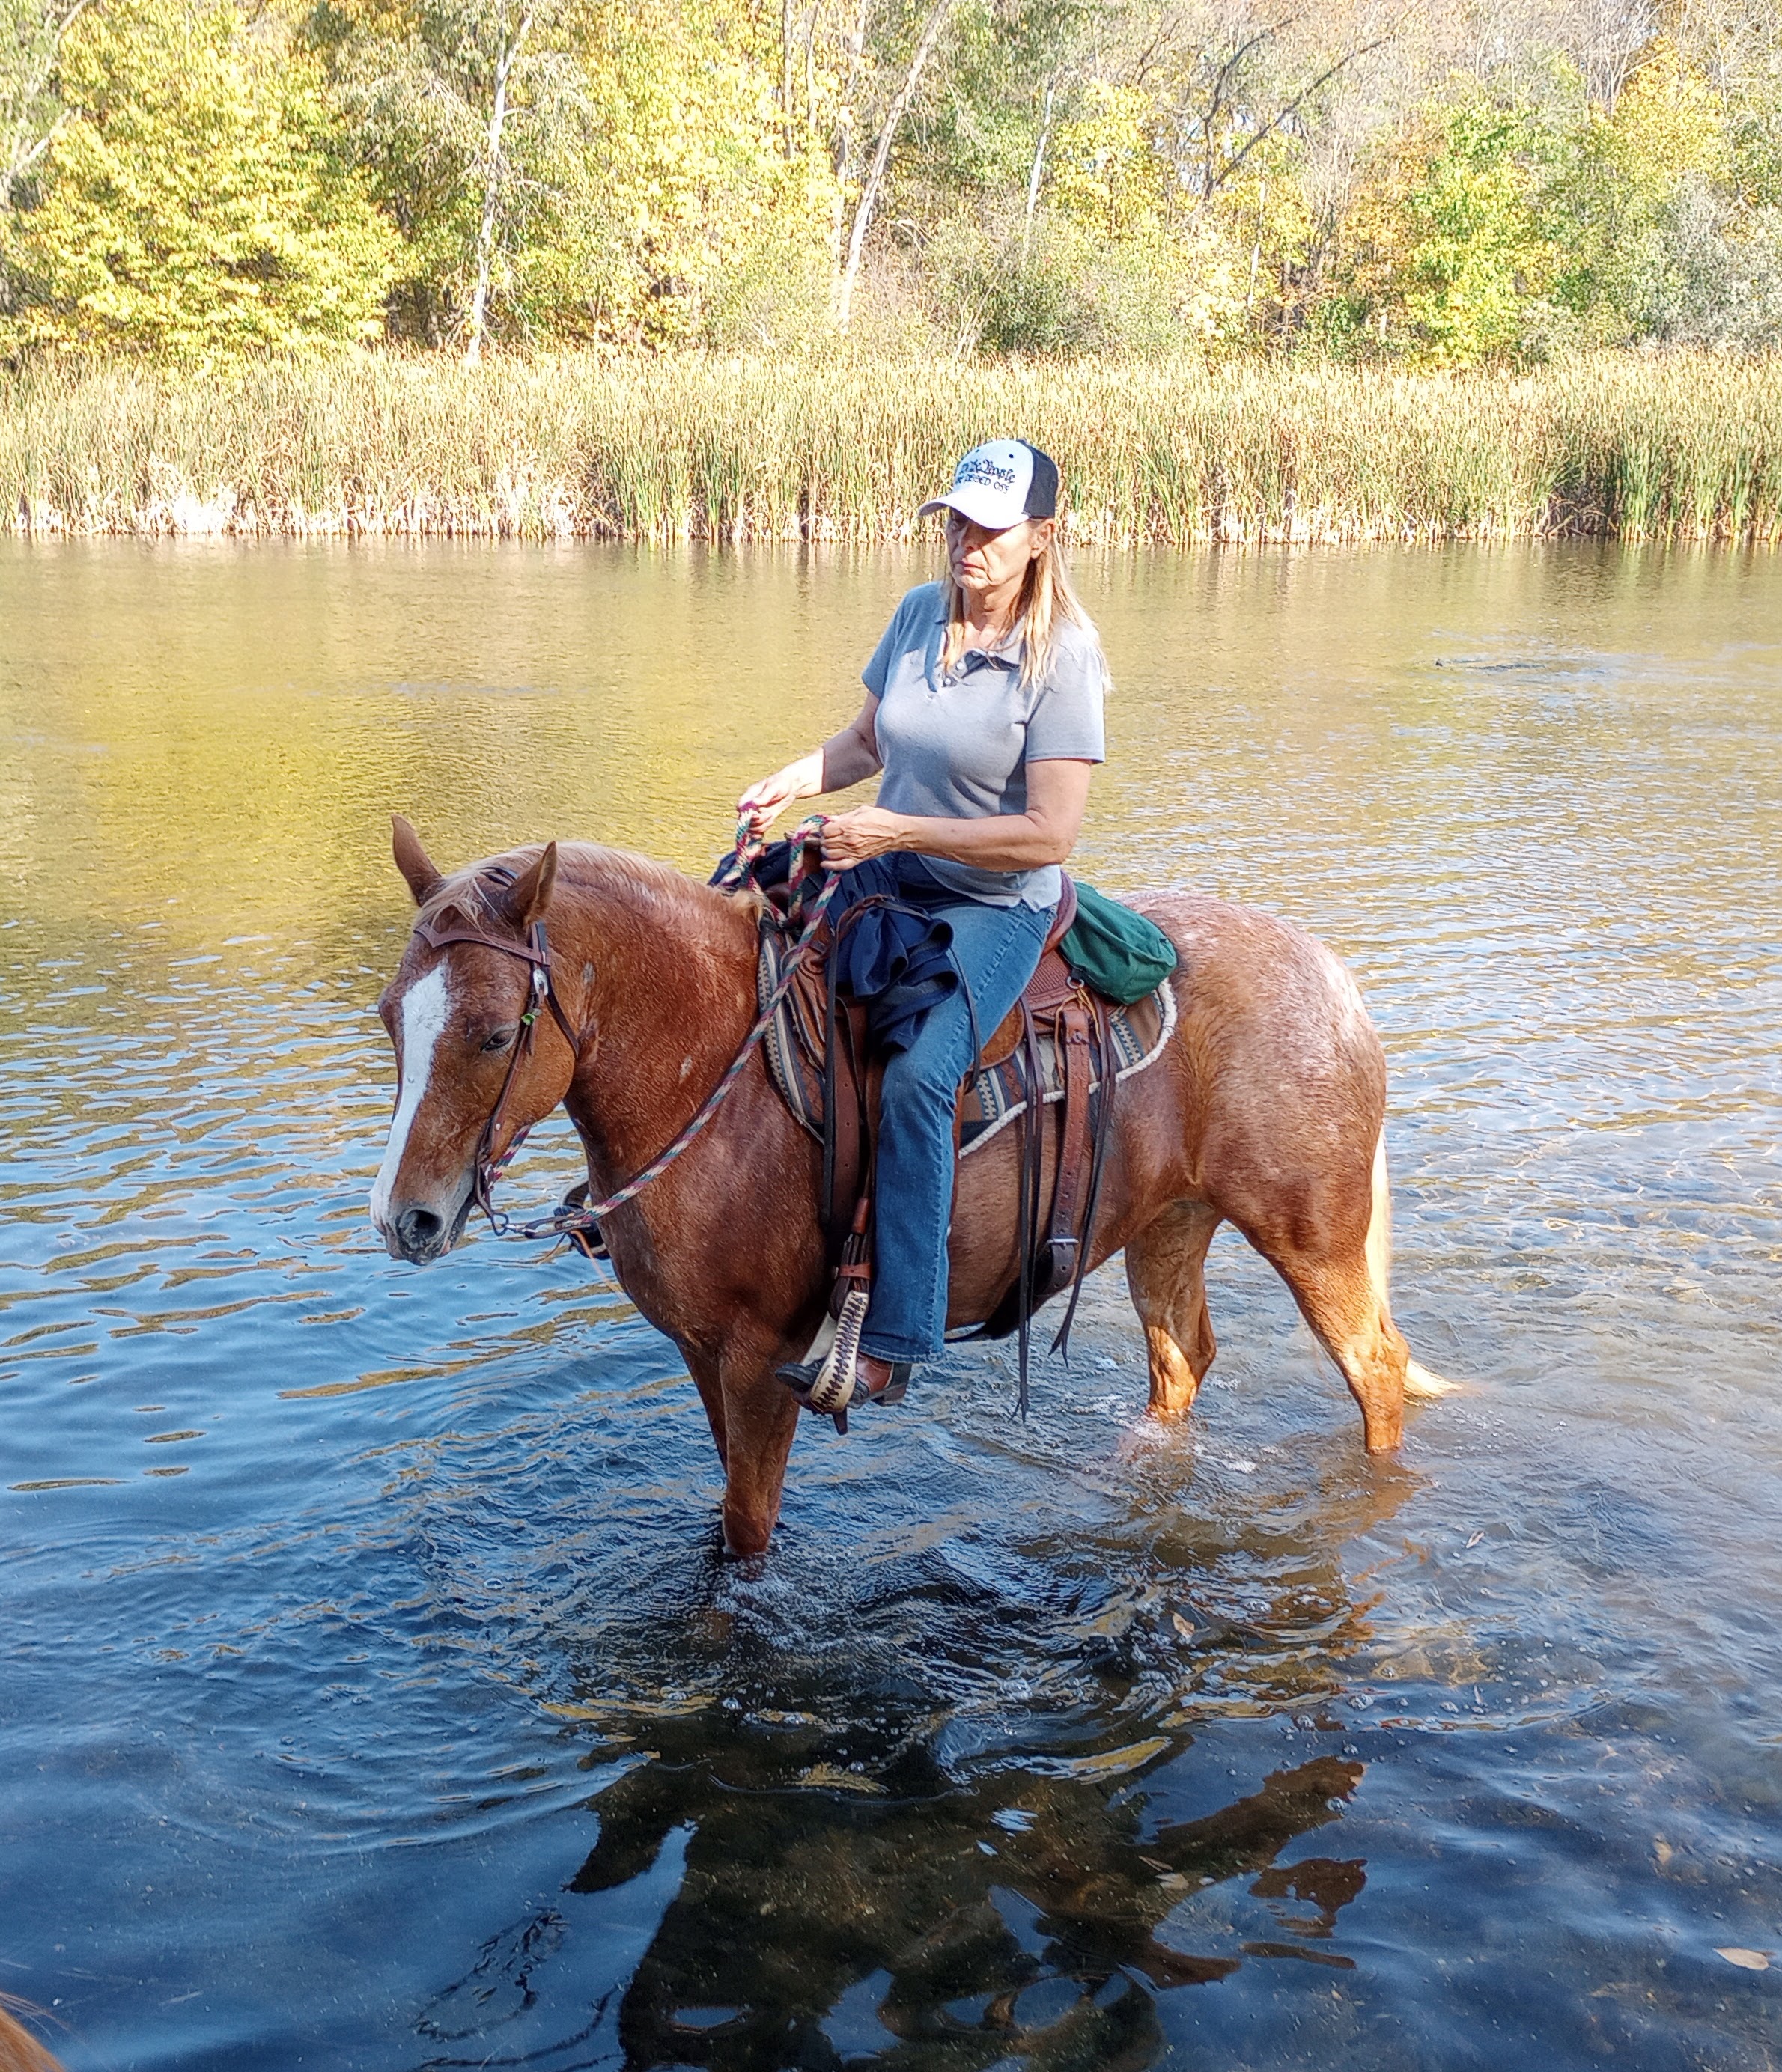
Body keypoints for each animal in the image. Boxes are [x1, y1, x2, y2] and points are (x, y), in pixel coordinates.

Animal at [365, 820, 1450, 1558]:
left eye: (493, 1035)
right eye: (387, 1014)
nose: (405, 1218)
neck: (713, 1068)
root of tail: (1331, 977)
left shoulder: (758, 1361)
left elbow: (747, 1527)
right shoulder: (701, 1354)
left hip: (1313, 1236)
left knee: (1376, 1369)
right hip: (1170, 1225)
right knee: (1182, 1364)